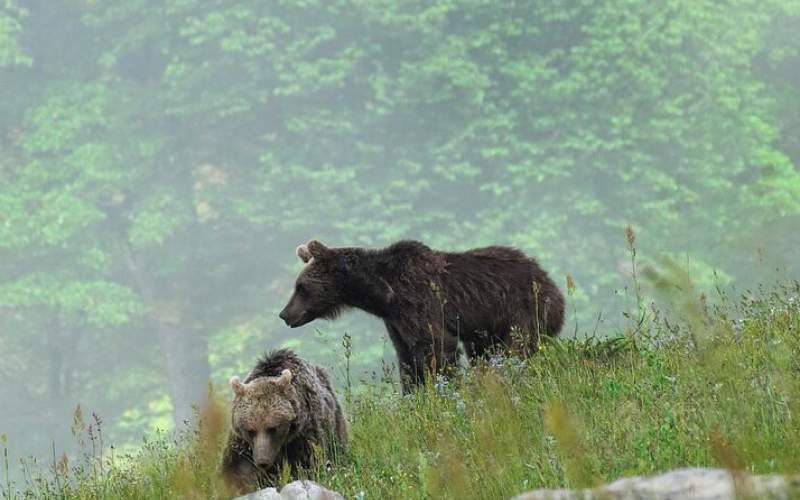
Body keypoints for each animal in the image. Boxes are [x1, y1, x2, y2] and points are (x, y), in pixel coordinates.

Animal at [220, 350, 346, 494]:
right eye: (250, 430)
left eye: (272, 428)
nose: (262, 461)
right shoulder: (242, 442)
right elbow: (237, 466)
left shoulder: (303, 434)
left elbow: (307, 463)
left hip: (334, 424)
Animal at [280, 240, 564, 392]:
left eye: (301, 287)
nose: (284, 314)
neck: (384, 294)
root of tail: (550, 281)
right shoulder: (395, 322)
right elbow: (407, 359)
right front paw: (412, 395)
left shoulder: (418, 302)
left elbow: (435, 347)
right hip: (488, 328)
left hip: (522, 310)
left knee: (518, 348)